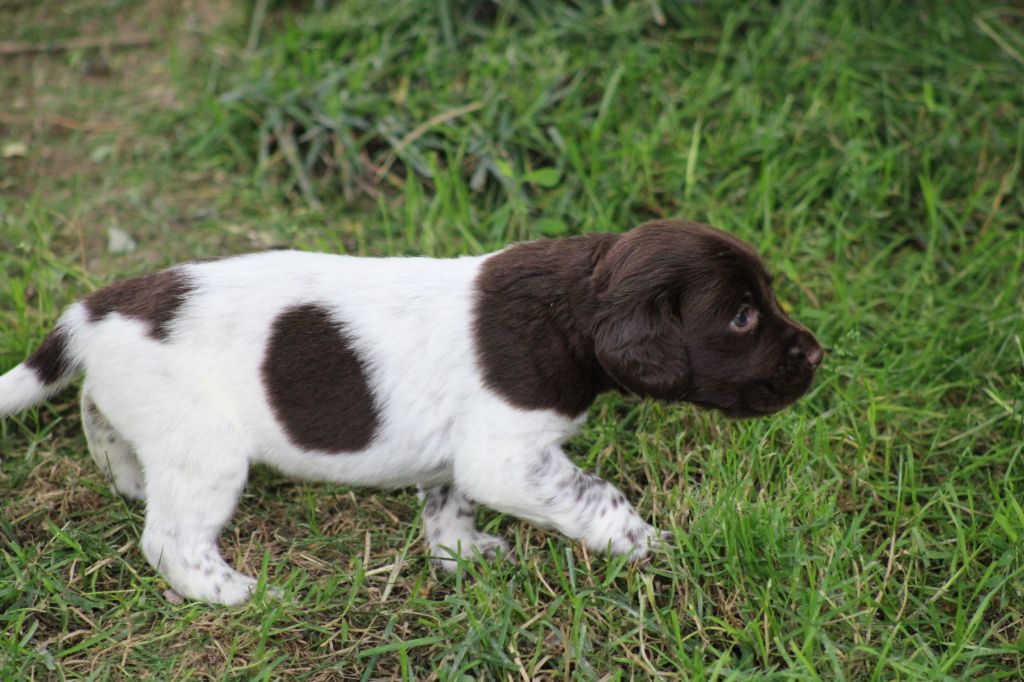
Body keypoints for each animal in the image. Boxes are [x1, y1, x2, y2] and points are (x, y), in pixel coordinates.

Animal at [0, 218, 815, 602]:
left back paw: (125, 475)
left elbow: (448, 507)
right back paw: (234, 593)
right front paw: (651, 547)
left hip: (144, 408)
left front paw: (463, 557)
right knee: (169, 541)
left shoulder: (459, 458)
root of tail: (97, 308)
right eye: (742, 317)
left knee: (96, 410)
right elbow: (599, 497)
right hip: (207, 452)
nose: (817, 356)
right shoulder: (506, 455)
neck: (572, 308)